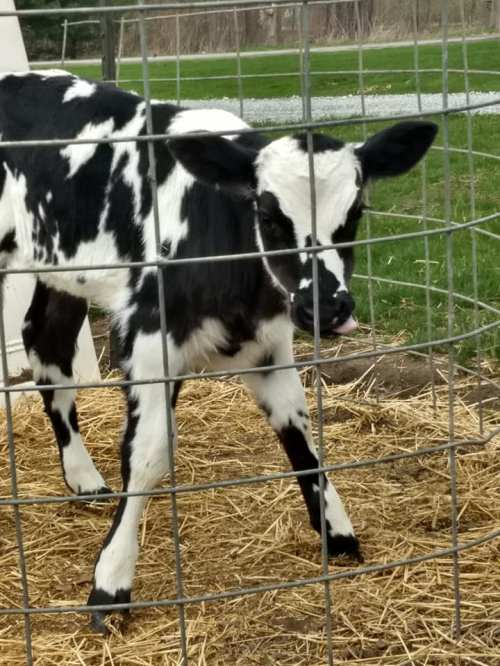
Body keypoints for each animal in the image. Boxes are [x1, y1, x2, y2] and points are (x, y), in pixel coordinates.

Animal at [0, 71, 437, 632]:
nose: (327, 307)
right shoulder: (149, 334)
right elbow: (148, 453)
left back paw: (84, 478)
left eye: (356, 212)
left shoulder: (270, 346)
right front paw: (111, 584)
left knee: (47, 342)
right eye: (268, 214)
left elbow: (300, 436)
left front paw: (337, 533)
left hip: (61, 270)